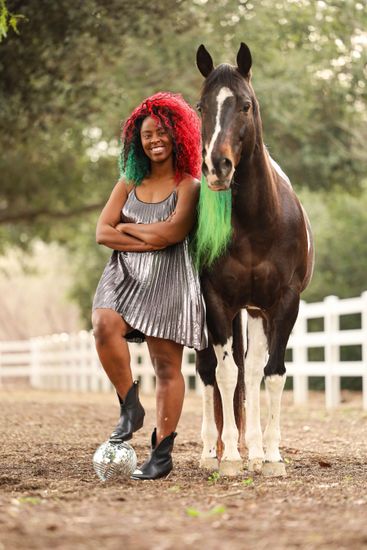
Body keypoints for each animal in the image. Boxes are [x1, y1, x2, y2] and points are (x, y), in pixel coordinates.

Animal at [194, 42, 314, 478]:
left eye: (245, 105)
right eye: (201, 106)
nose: (217, 166)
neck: (257, 222)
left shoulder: (284, 302)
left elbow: (273, 374)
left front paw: (272, 457)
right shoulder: (217, 302)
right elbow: (227, 374)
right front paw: (230, 457)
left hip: (258, 312)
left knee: (255, 368)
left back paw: (258, 451)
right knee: (208, 373)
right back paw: (211, 451)